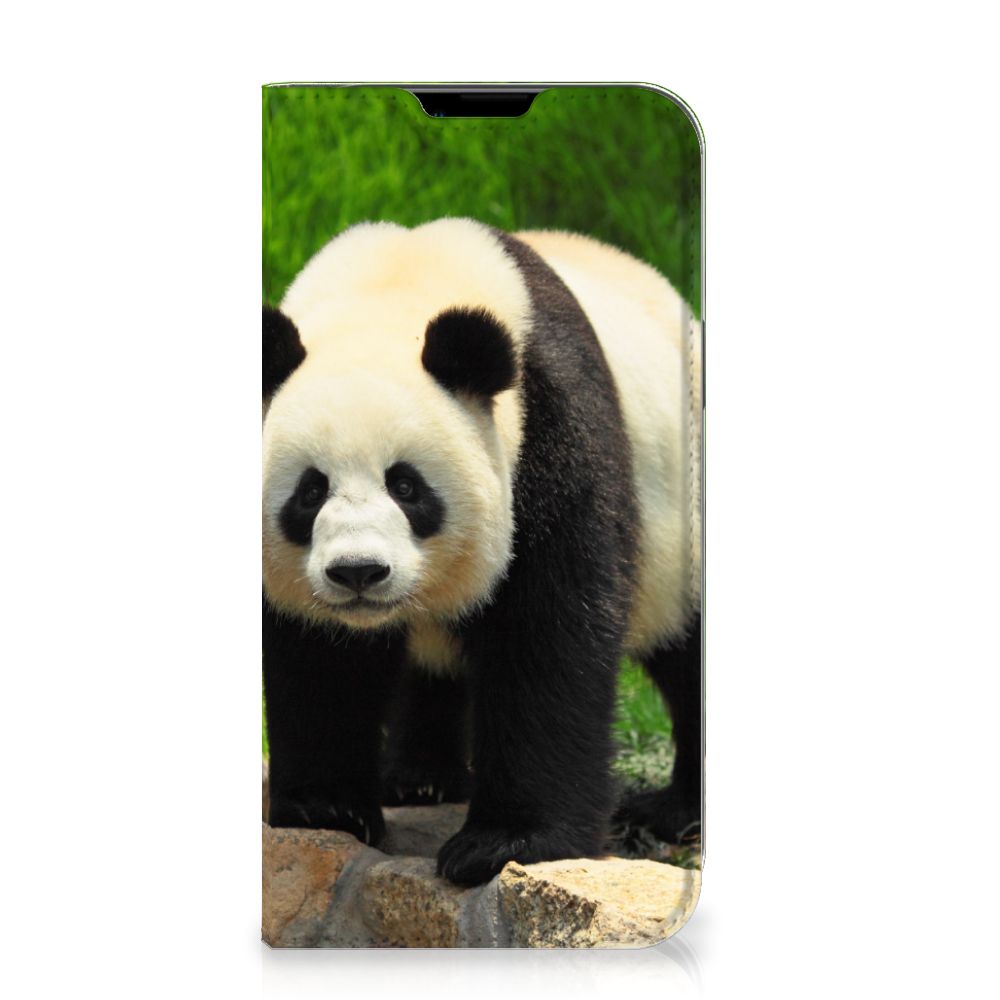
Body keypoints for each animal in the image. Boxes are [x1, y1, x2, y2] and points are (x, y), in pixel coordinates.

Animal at [262, 218, 701, 887]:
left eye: (407, 486)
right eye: (310, 492)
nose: (359, 573)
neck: (392, 288)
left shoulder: (549, 430)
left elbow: (546, 634)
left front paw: (504, 843)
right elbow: (316, 656)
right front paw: (326, 807)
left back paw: (674, 811)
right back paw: (419, 778)